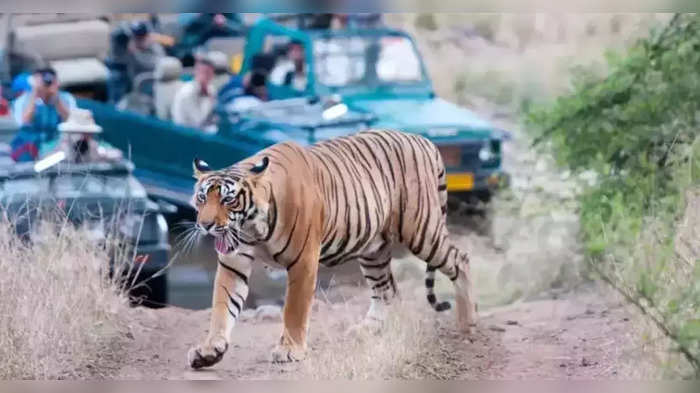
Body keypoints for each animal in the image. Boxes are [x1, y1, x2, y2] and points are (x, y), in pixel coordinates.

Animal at [187, 129, 476, 368]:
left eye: (228, 200)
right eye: (202, 198)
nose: (206, 225)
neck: (252, 228)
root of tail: (424, 140)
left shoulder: (303, 261)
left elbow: (294, 309)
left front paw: (290, 350)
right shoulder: (233, 262)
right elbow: (222, 305)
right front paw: (209, 350)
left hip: (422, 231)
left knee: (460, 259)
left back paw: (467, 324)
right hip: (373, 249)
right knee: (387, 290)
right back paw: (368, 330)